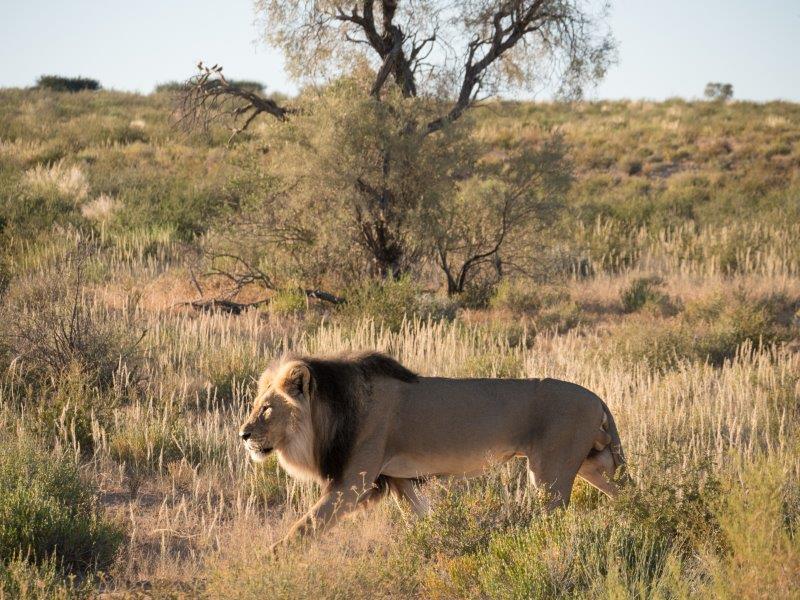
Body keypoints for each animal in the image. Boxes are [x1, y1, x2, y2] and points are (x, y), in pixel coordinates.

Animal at [238, 352, 624, 548]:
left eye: (267, 409)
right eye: (255, 405)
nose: (243, 434)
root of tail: (596, 396)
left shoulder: (352, 483)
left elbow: (302, 529)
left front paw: (271, 564)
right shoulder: (397, 479)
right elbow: (421, 517)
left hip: (550, 474)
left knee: (555, 517)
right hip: (590, 464)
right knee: (625, 492)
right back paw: (634, 515)